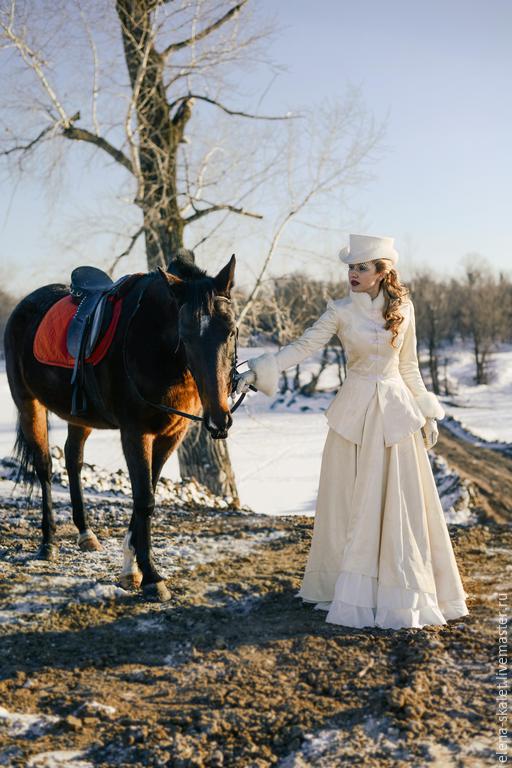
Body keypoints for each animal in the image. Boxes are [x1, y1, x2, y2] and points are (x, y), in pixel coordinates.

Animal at [4, 255, 237, 604]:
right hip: (28, 403)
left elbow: (147, 493)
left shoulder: (171, 434)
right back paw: (48, 543)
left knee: (73, 460)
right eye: (185, 334)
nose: (219, 420)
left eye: (232, 331)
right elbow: (144, 500)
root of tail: (24, 306)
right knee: (44, 467)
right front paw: (151, 576)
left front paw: (132, 567)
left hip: (79, 417)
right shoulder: (135, 432)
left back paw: (85, 533)